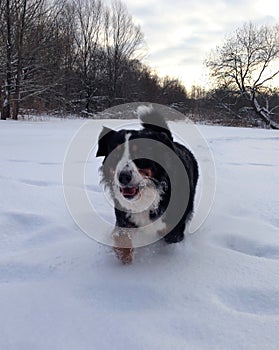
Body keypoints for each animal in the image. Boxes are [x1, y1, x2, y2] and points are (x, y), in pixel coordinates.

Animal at [96, 106, 199, 262]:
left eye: (140, 152)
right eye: (115, 153)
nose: (123, 177)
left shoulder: (174, 228)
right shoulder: (124, 217)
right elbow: (121, 236)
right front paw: (124, 256)